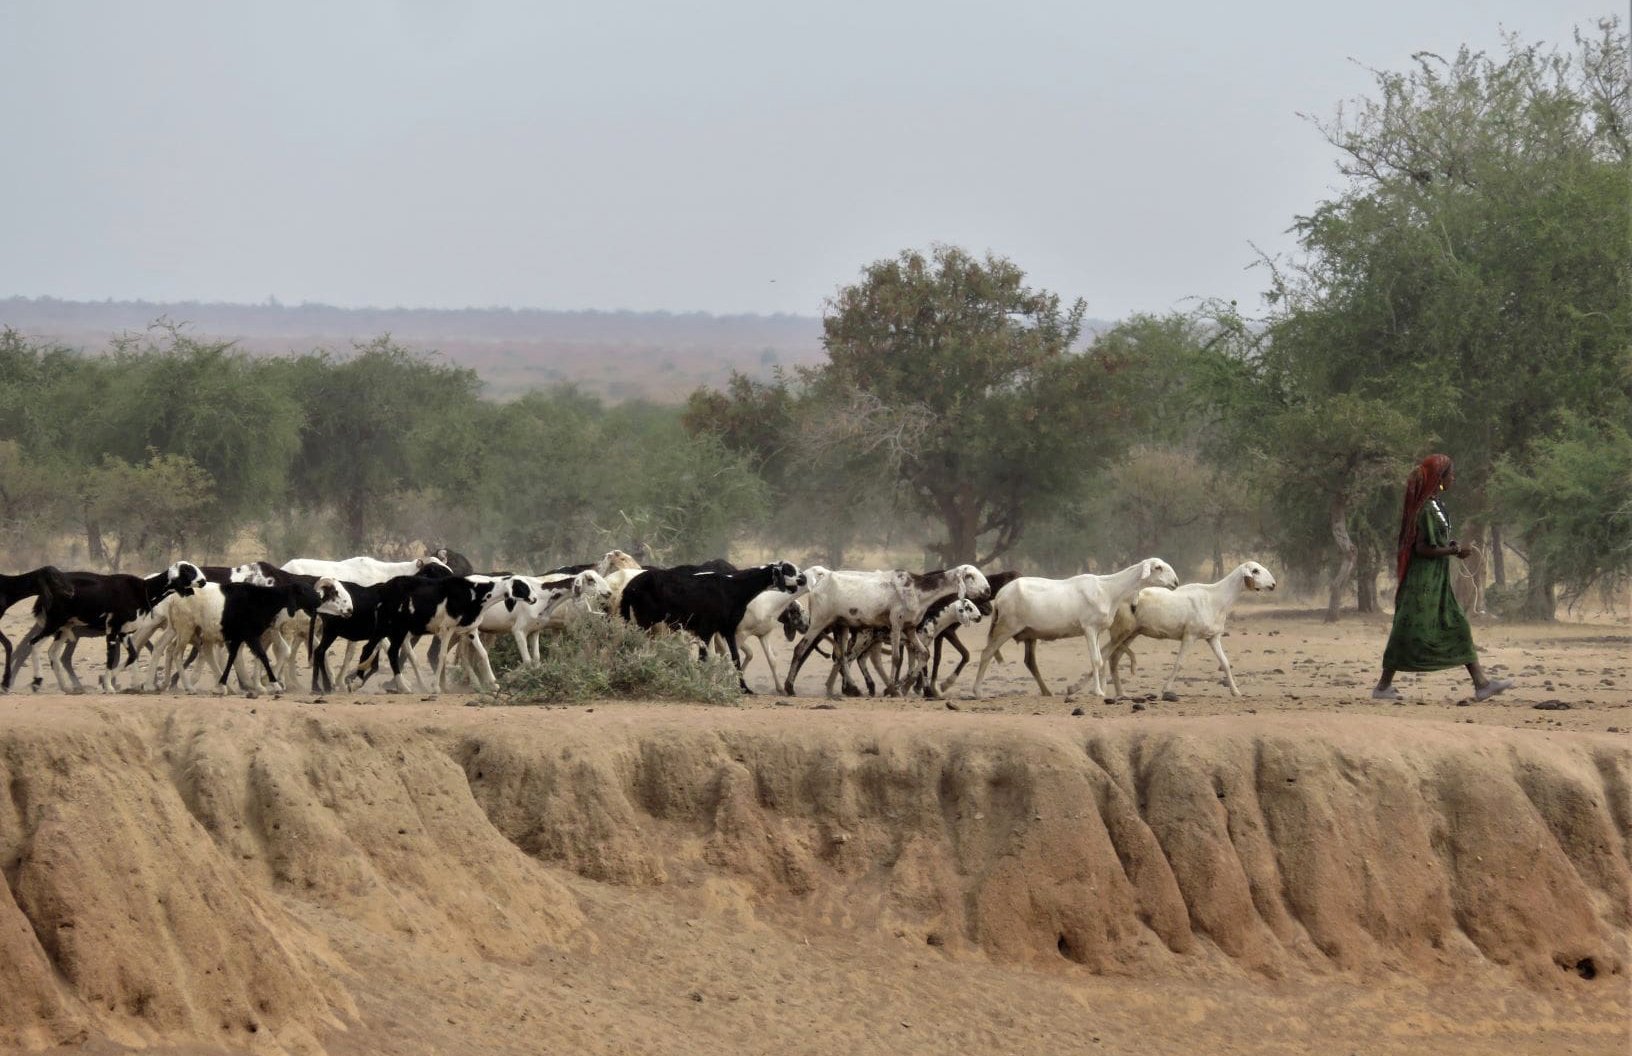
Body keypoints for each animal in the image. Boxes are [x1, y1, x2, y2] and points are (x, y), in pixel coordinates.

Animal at [1109, 561, 1272, 701]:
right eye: (1255, 570)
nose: (1273, 584)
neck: (1216, 599)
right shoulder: (1190, 635)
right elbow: (1179, 663)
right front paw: (1165, 689)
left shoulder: (1213, 637)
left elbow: (1225, 663)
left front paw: (1236, 692)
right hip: (1122, 631)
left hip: (1131, 634)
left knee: (1114, 658)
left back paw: (1121, 693)